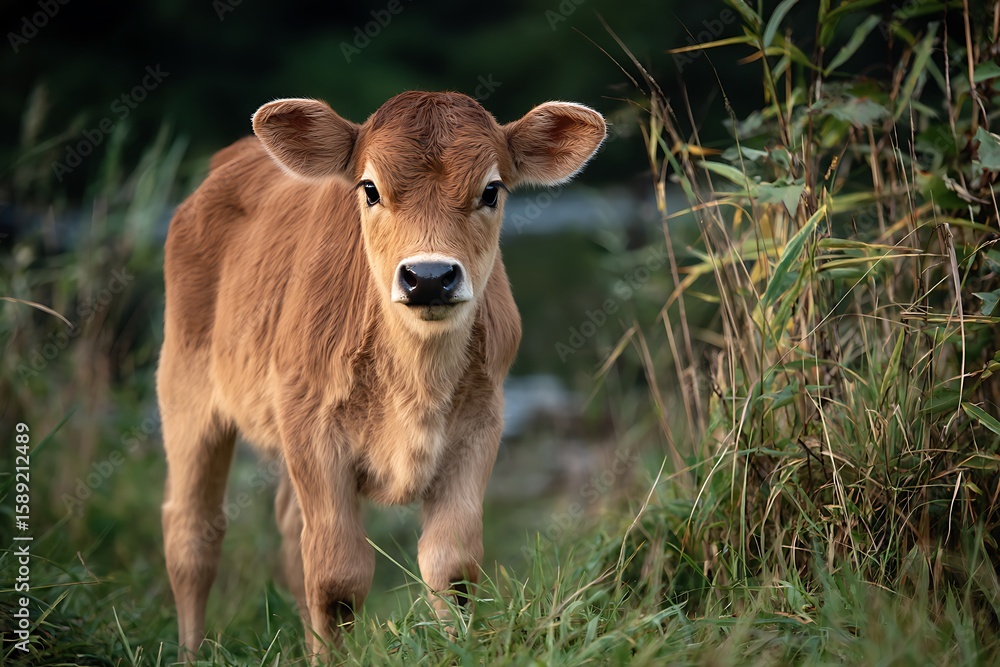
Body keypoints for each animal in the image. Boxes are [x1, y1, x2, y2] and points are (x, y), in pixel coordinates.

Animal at [157, 90, 606, 659]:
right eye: (370, 189)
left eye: (491, 190)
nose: (430, 277)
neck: (414, 381)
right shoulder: (312, 430)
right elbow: (337, 578)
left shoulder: (481, 425)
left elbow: (451, 567)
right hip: (186, 391)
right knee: (192, 536)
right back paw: (190, 651)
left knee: (288, 535)